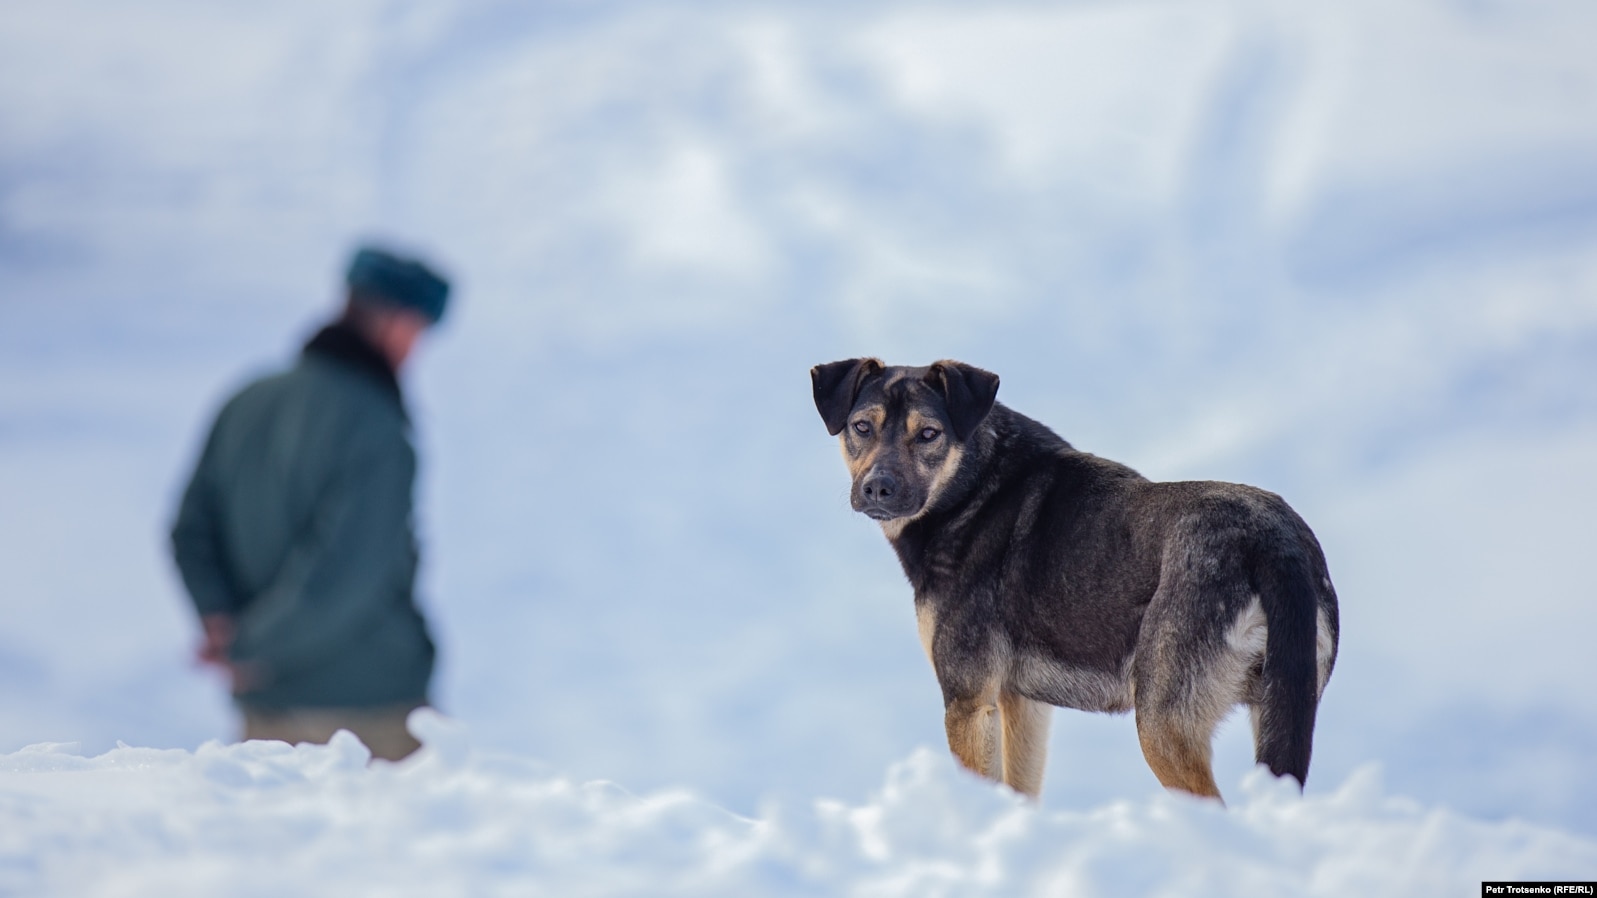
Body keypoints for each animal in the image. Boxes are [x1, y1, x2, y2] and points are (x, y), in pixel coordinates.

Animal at [811, 356, 1335, 795]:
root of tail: (1274, 541)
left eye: (928, 434)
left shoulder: (968, 700)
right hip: (1280, 705)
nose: (878, 488)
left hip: (1162, 723)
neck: (972, 489)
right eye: (861, 427)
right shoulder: (1021, 702)